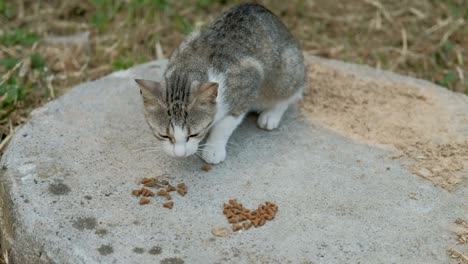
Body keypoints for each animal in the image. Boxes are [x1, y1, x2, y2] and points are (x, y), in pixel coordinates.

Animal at [134, 2, 308, 163]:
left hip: (286, 72)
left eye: (194, 134)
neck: (187, 72)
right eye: (163, 135)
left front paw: (213, 149)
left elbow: (224, 125)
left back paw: (271, 115)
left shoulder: (249, 79)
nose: (180, 154)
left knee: (292, 91)